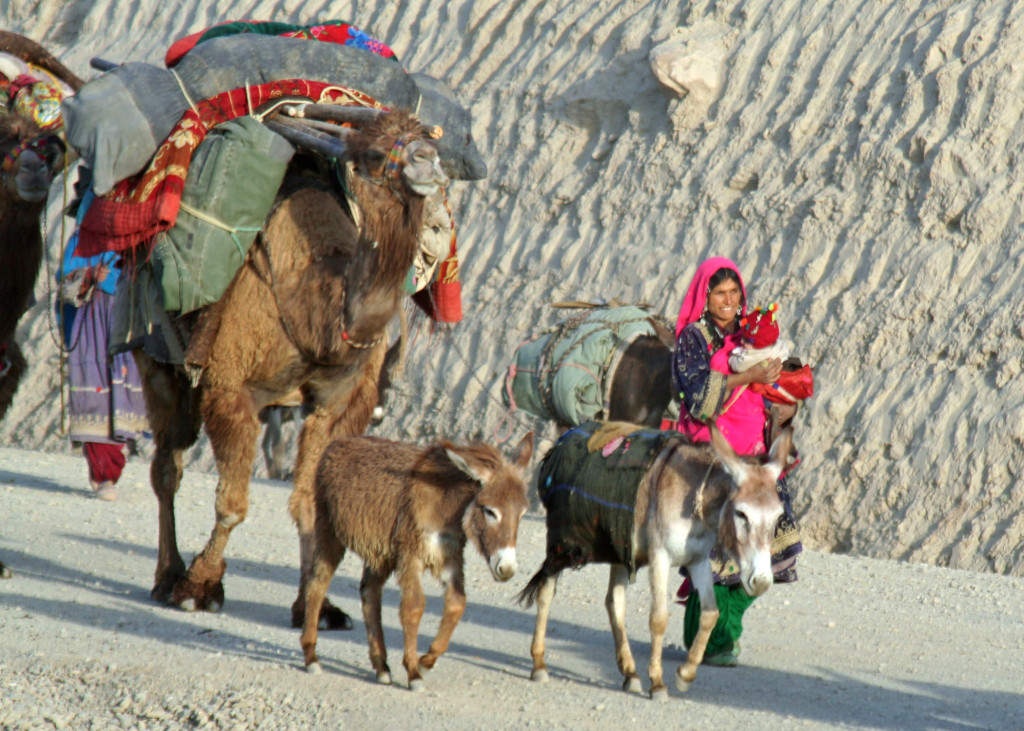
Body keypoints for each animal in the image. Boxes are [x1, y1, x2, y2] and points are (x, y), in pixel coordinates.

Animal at [137, 106, 452, 626]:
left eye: (428, 138)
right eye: (374, 154)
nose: (428, 161)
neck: (317, 302)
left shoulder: (334, 405)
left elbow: (309, 503)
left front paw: (316, 608)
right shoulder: (230, 386)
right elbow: (232, 502)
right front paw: (199, 587)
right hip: (156, 359)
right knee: (167, 466)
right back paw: (167, 577)